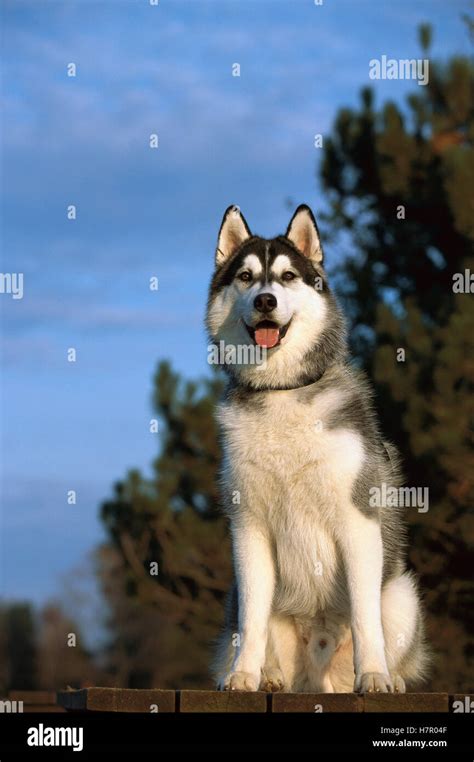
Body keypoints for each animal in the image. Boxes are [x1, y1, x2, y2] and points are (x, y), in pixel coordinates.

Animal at [206, 205, 428, 692]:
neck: (282, 392)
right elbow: (253, 618)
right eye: (246, 277)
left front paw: (375, 675)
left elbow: (366, 617)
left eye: (287, 277)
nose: (265, 301)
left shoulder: (358, 521)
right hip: (237, 601)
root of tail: (316, 679)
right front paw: (244, 675)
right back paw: (270, 677)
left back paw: (391, 678)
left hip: (402, 594)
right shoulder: (248, 529)